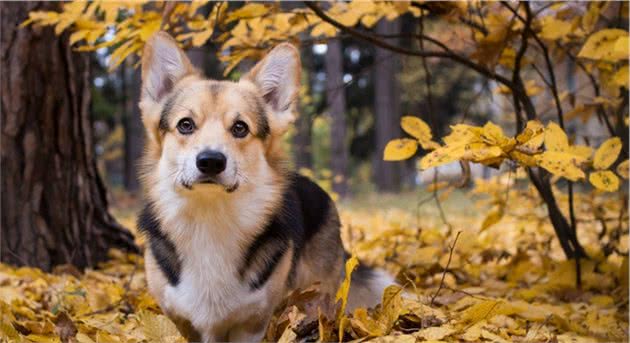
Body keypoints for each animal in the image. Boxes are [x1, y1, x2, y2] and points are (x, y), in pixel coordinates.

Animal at [139, 30, 396, 342]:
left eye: (240, 128)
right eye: (185, 125)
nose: (211, 161)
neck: (211, 217)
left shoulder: (251, 323)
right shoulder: (182, 321)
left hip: (316, 294)